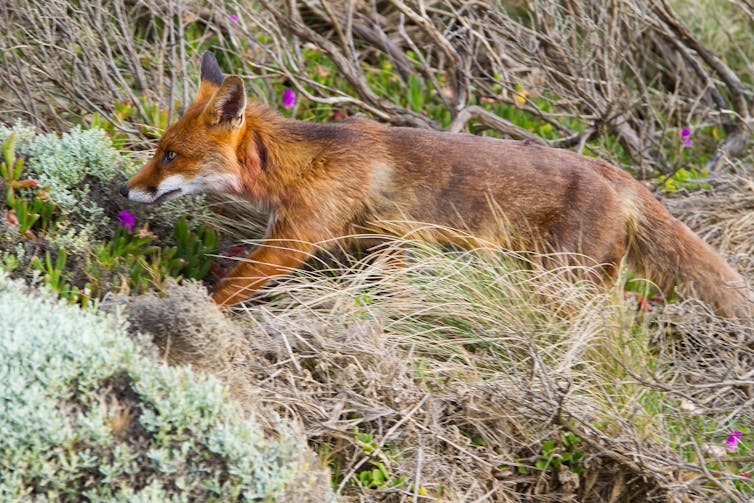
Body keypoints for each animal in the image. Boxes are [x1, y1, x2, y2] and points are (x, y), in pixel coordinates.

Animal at [120, 52, 748, 318]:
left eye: (170, 154)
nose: (127, 191)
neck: (303, 162)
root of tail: (616, 173)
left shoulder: (294, 240)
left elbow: (228, 289)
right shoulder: (389, 244)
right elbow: (395, 292)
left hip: (560, 281)